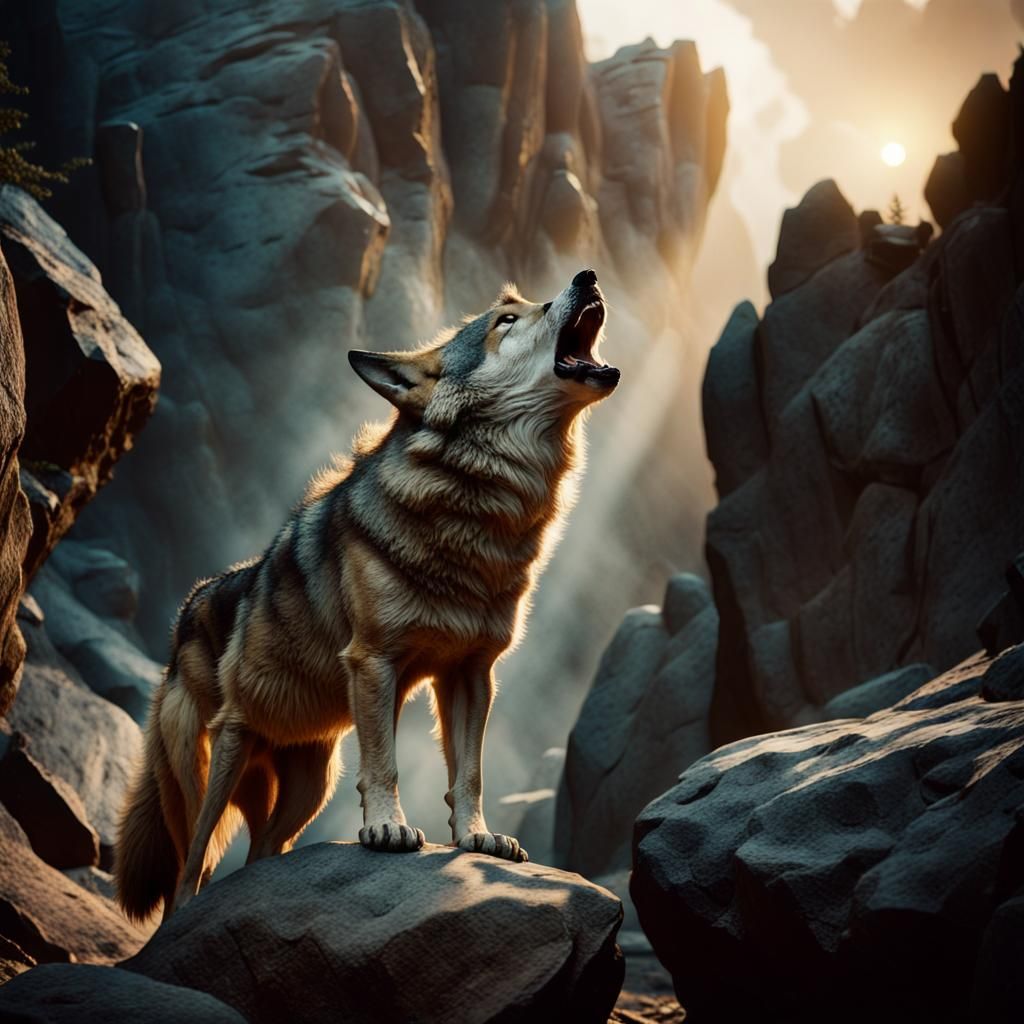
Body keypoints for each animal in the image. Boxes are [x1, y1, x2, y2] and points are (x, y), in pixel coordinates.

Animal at [114, 269, 619, 921]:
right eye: (505, 320)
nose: (587, 276)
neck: (478, 515)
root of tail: (190, 607)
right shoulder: (375, 662)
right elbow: (386, 764)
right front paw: (387, 829)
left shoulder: (472, 673)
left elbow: (470, 773)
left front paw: (478, 838)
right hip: (212, 767)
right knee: (191, 864)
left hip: (308, 786)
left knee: (262, 854)